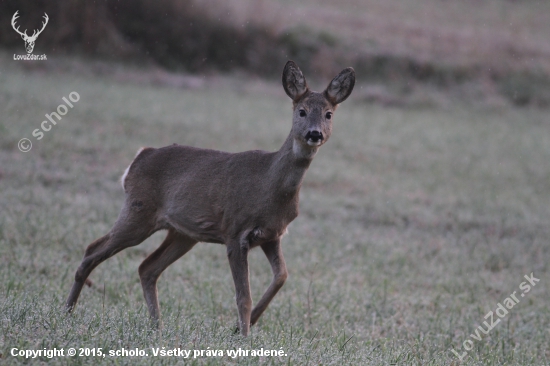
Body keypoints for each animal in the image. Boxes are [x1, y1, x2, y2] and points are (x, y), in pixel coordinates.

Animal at [66, 60, 358, 338]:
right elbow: (243, 296)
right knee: (93, 250)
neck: (269, 187)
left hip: (182, 233)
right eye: (302, 111)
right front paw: (243, 336)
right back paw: (68, 312)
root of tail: (139, 157)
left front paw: (243, 326)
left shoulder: (272, 234)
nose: (314, 134)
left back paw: (157, 328)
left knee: (146, 267)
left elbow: (282, 276)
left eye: (329, 114)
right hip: (139, 210)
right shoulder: (235, 231)